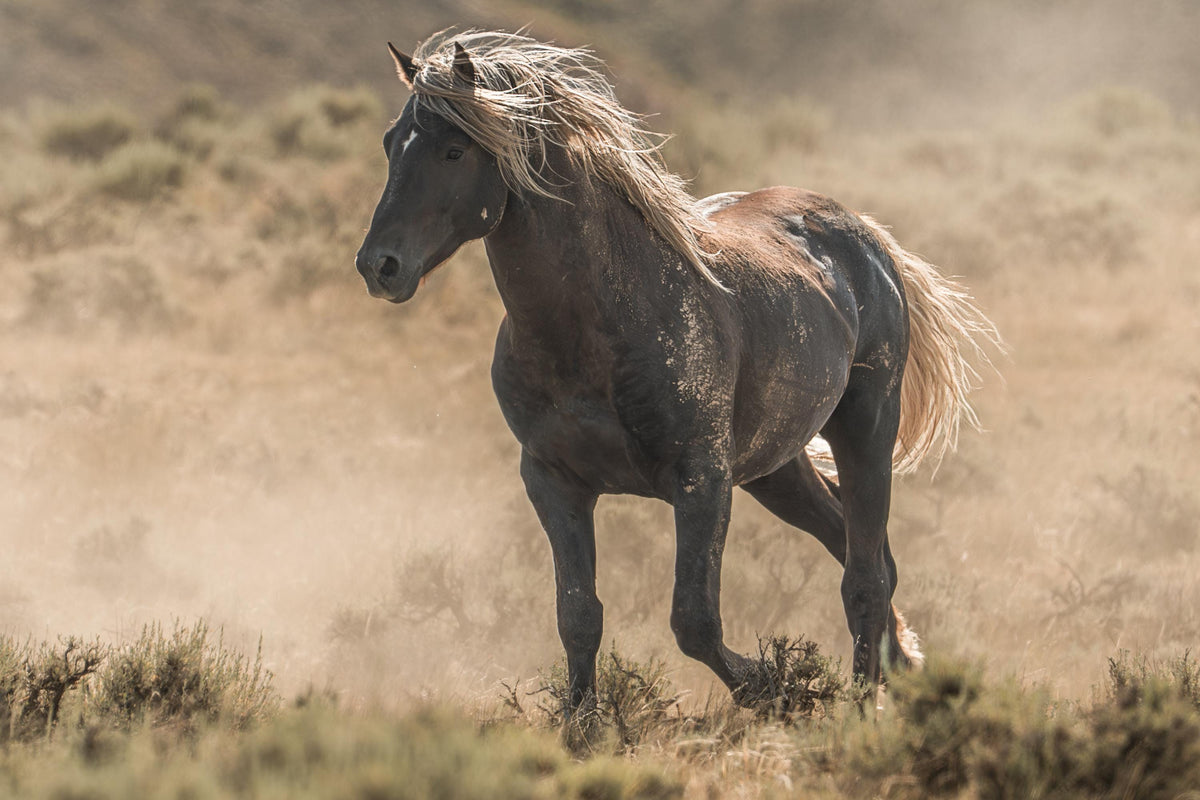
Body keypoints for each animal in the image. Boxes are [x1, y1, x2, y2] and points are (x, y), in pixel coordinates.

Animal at [356, 30, 997, 716]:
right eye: (392, 143)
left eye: (454, 150)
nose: (379, 266)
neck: (595, 327)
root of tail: (863, 235)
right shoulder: (553, 482)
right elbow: (578, 617)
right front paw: (582, 726)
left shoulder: (701, 482)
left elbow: (694, 621)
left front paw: (774, 689)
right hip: (774, 467)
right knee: (858, 549)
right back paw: (897, 668)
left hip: (865, 428)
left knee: (866, 576)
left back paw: (861, 705)